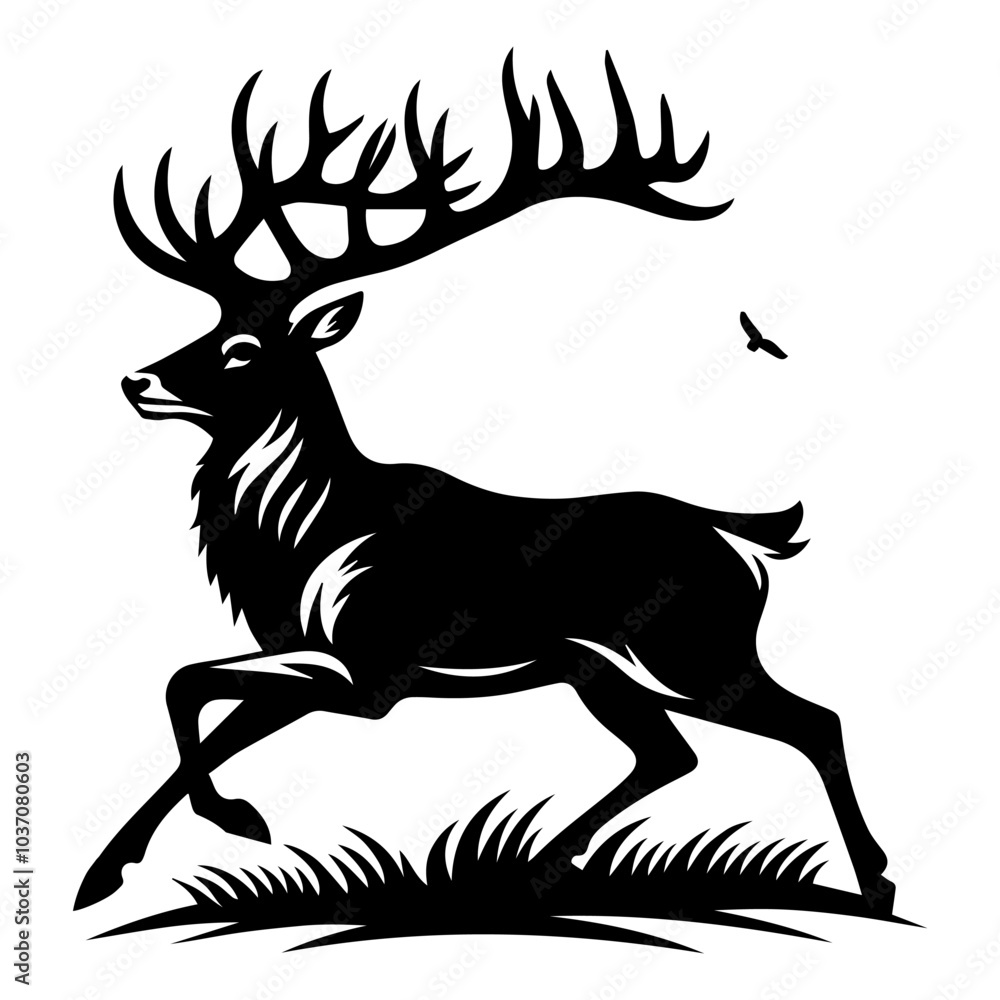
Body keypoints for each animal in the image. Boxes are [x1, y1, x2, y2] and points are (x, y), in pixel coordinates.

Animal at [75, 52, 894, 914]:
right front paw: (107, 872)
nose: (137, 380)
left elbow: (185, 681)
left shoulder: (374, 664)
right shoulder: (312, 652)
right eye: (206, 329)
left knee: (811, 721)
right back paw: (540, 867)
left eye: (243, 349)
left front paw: (232, 818)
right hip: (602, 667)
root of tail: (747, 539)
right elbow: (208, 708)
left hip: (691, 652)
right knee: (671, 753)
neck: (307, 536)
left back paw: (874, 881)